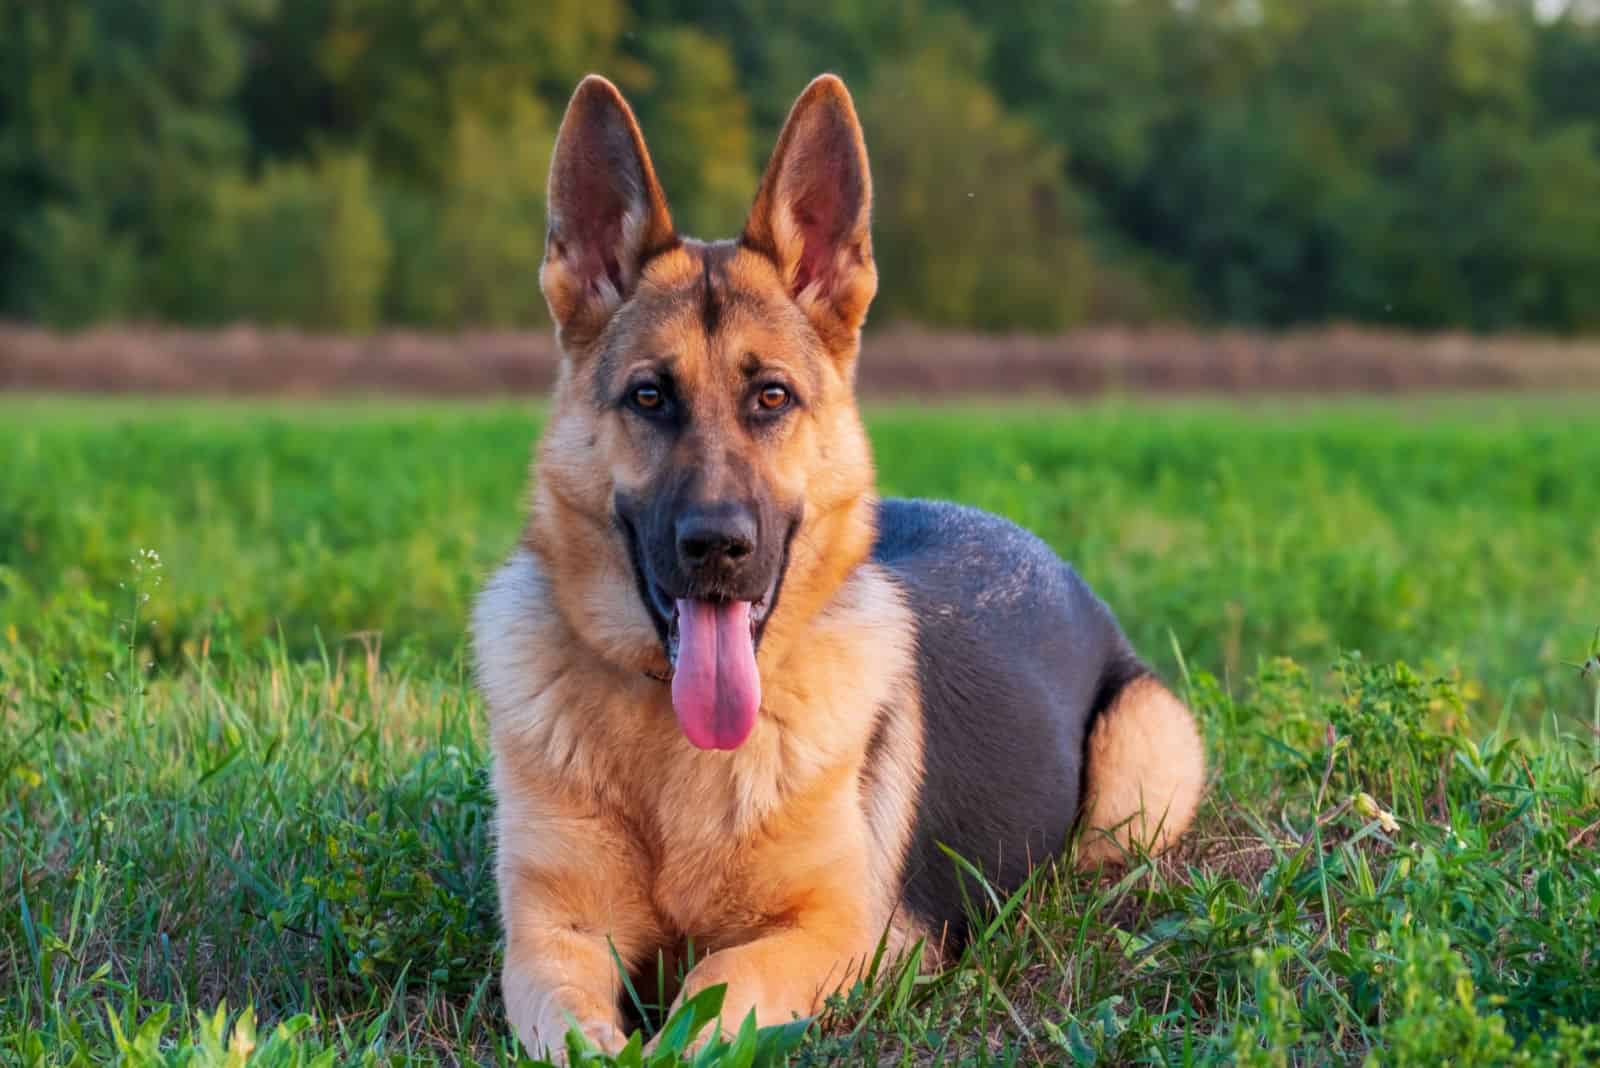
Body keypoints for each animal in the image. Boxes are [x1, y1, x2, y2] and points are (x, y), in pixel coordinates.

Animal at [467, 73, 1203, 1048]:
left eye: (772, 397)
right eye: (650, 397)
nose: (716, 546)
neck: (673, 751)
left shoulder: (845, 935)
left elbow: (717, 982)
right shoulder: (552, 937)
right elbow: (582, 1034)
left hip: (1137, 774)